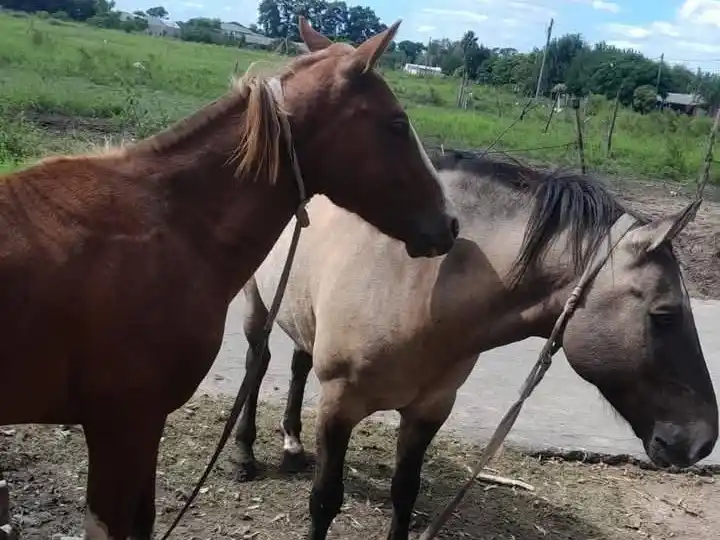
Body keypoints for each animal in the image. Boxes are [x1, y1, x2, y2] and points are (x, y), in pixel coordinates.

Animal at [233, 150, 718, 540]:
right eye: (664, 315)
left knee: (297, 363)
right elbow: (325, 500)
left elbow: (404, 494)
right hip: (258, 299)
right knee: (258, 360)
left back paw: (292, 446)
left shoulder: (430, 410)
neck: (419, 284)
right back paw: (243, 455)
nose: (701, 442)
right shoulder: (339, 405)